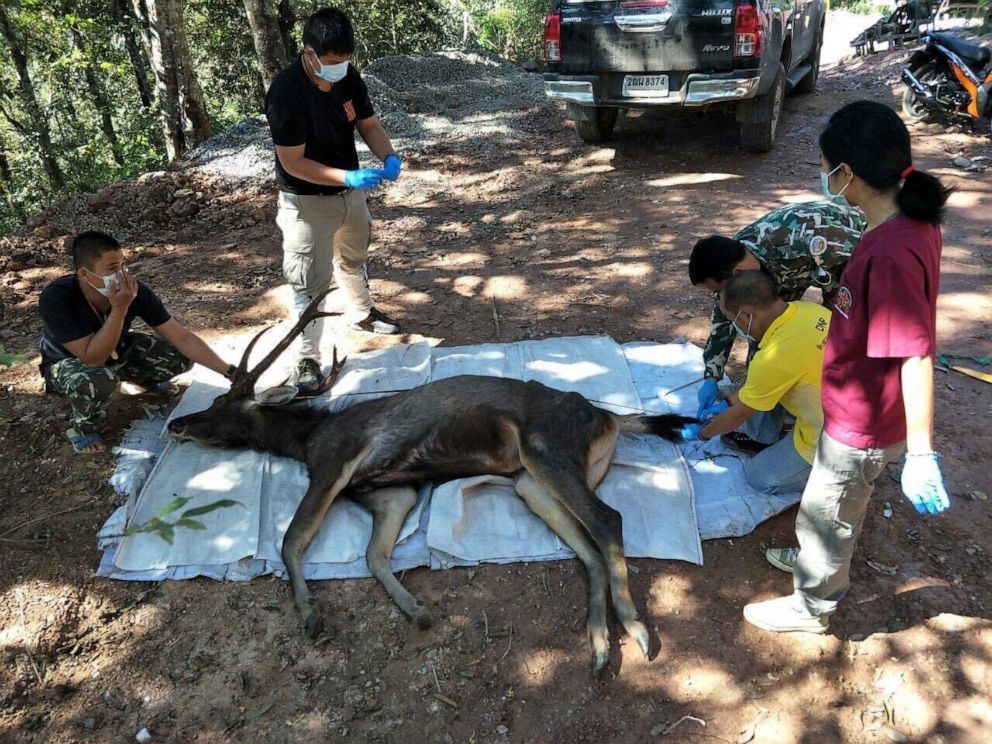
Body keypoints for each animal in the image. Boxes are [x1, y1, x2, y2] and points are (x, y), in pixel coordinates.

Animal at [167, 292, 692, 676]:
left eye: (220, 405)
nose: (177, 424)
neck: (305, 437)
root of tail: (611, 419)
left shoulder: (334, 463)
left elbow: (291, 540)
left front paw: (310, 613)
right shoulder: (391, 492)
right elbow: (373, 554)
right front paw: (416, 610)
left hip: (546, 449)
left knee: (608, 520)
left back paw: (637, 631)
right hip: (531, 483)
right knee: (588, 549)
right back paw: (600, 649)